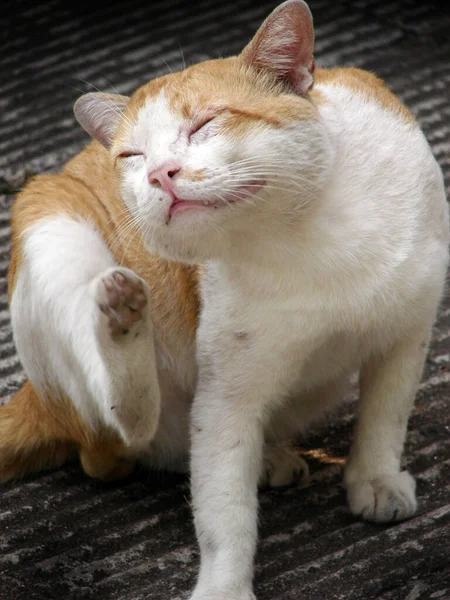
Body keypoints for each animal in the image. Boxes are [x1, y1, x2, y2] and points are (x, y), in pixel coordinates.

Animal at [1, 0, 448, 596]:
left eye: (205, 124)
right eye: (131, 156)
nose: (158, 174)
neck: (305, 234)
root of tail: (37, 396)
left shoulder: (407, 334)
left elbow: (384, 418)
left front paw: (374, 479)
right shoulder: (226, 397)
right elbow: (223, 511)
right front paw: (225, 587)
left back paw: (269, 457)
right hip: (51, 220)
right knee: (123, 431)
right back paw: (121, 317)